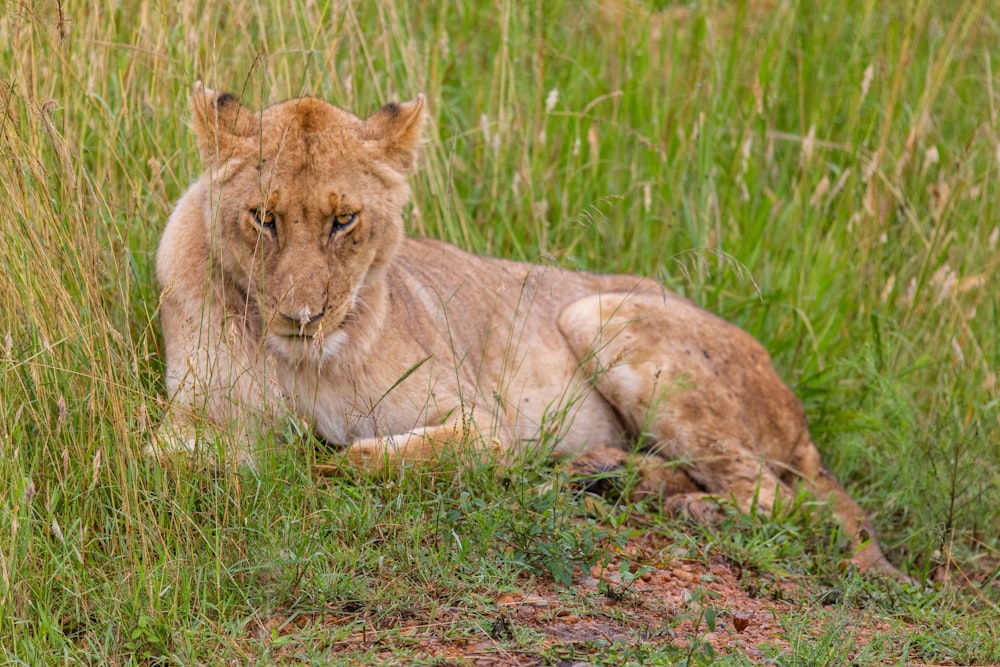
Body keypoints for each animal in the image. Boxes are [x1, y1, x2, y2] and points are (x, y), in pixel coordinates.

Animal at [158, 83, 908, 580]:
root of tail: (798, 415)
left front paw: (315, 460)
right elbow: (181, 457)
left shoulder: (478, 419)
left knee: (779, 497)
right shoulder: (186, 416)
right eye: (264, 217)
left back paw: (672, 504)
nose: (301, 316)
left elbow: (373, 458)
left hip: (599, 313)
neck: (304, 361)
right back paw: (604, 477)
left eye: (344, 221)